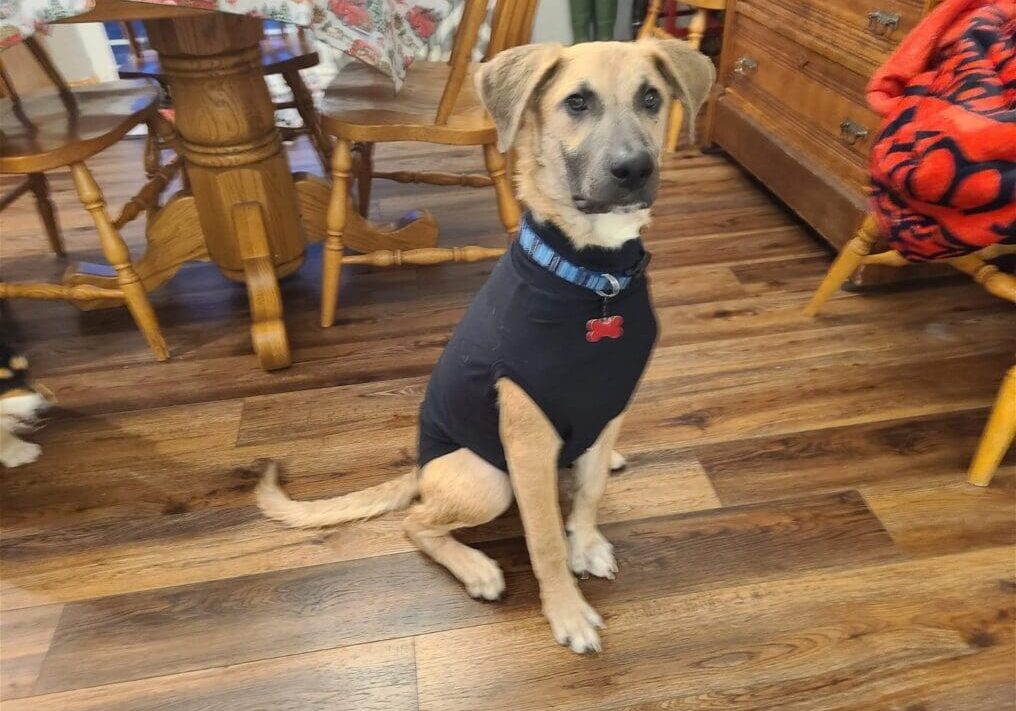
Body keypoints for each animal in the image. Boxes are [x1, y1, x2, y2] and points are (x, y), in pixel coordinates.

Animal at [254, 38, 715, 654]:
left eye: (651, 98)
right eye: (577, 102)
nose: (635, 170)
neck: (593, 279)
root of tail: (422, 466)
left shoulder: (611, 402)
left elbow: (589, 492)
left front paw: (586, 540)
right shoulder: (527, 443)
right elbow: (544, 540)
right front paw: (566, 611)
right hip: (487, 478)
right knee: (416, 522)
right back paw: (475, 568)